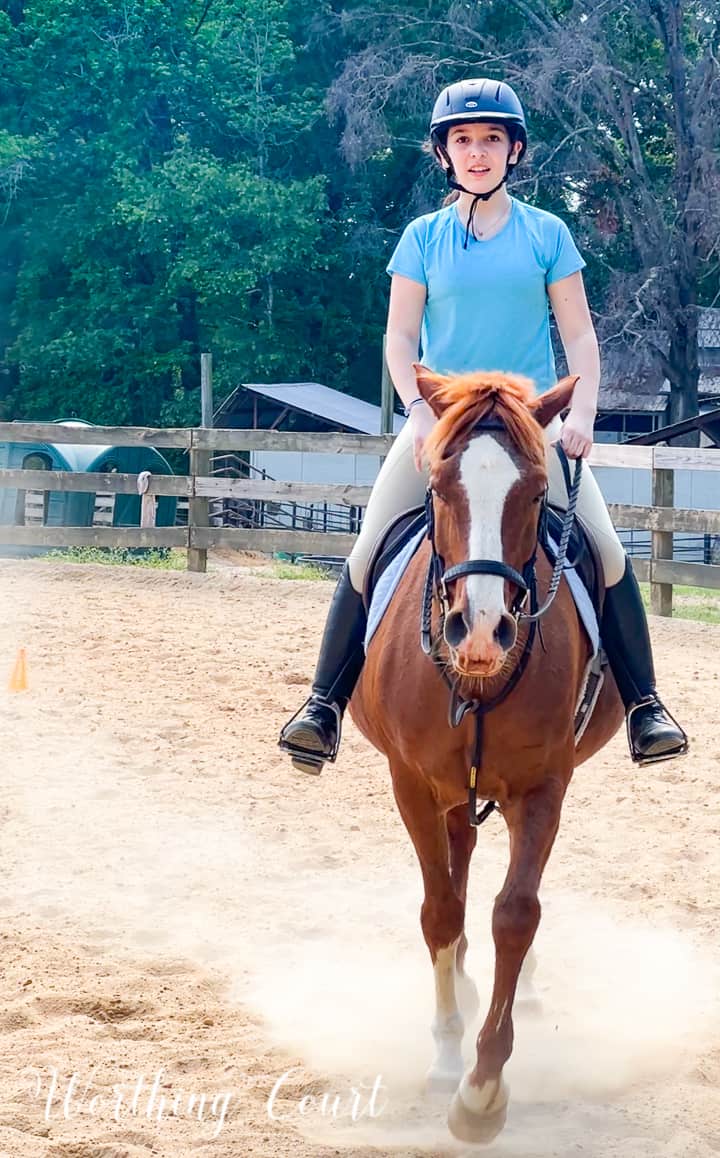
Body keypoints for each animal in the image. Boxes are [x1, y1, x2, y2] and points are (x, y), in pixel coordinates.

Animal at [351, 365, 625, 1144]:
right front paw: (448, 1052)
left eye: (535, 493)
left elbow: (516, 913)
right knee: (458, 866)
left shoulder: (542, 786)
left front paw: (483, 1090)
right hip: (449, 790)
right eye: (441, 486)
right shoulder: (411, 783)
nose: (479, 631)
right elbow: (440, 910)